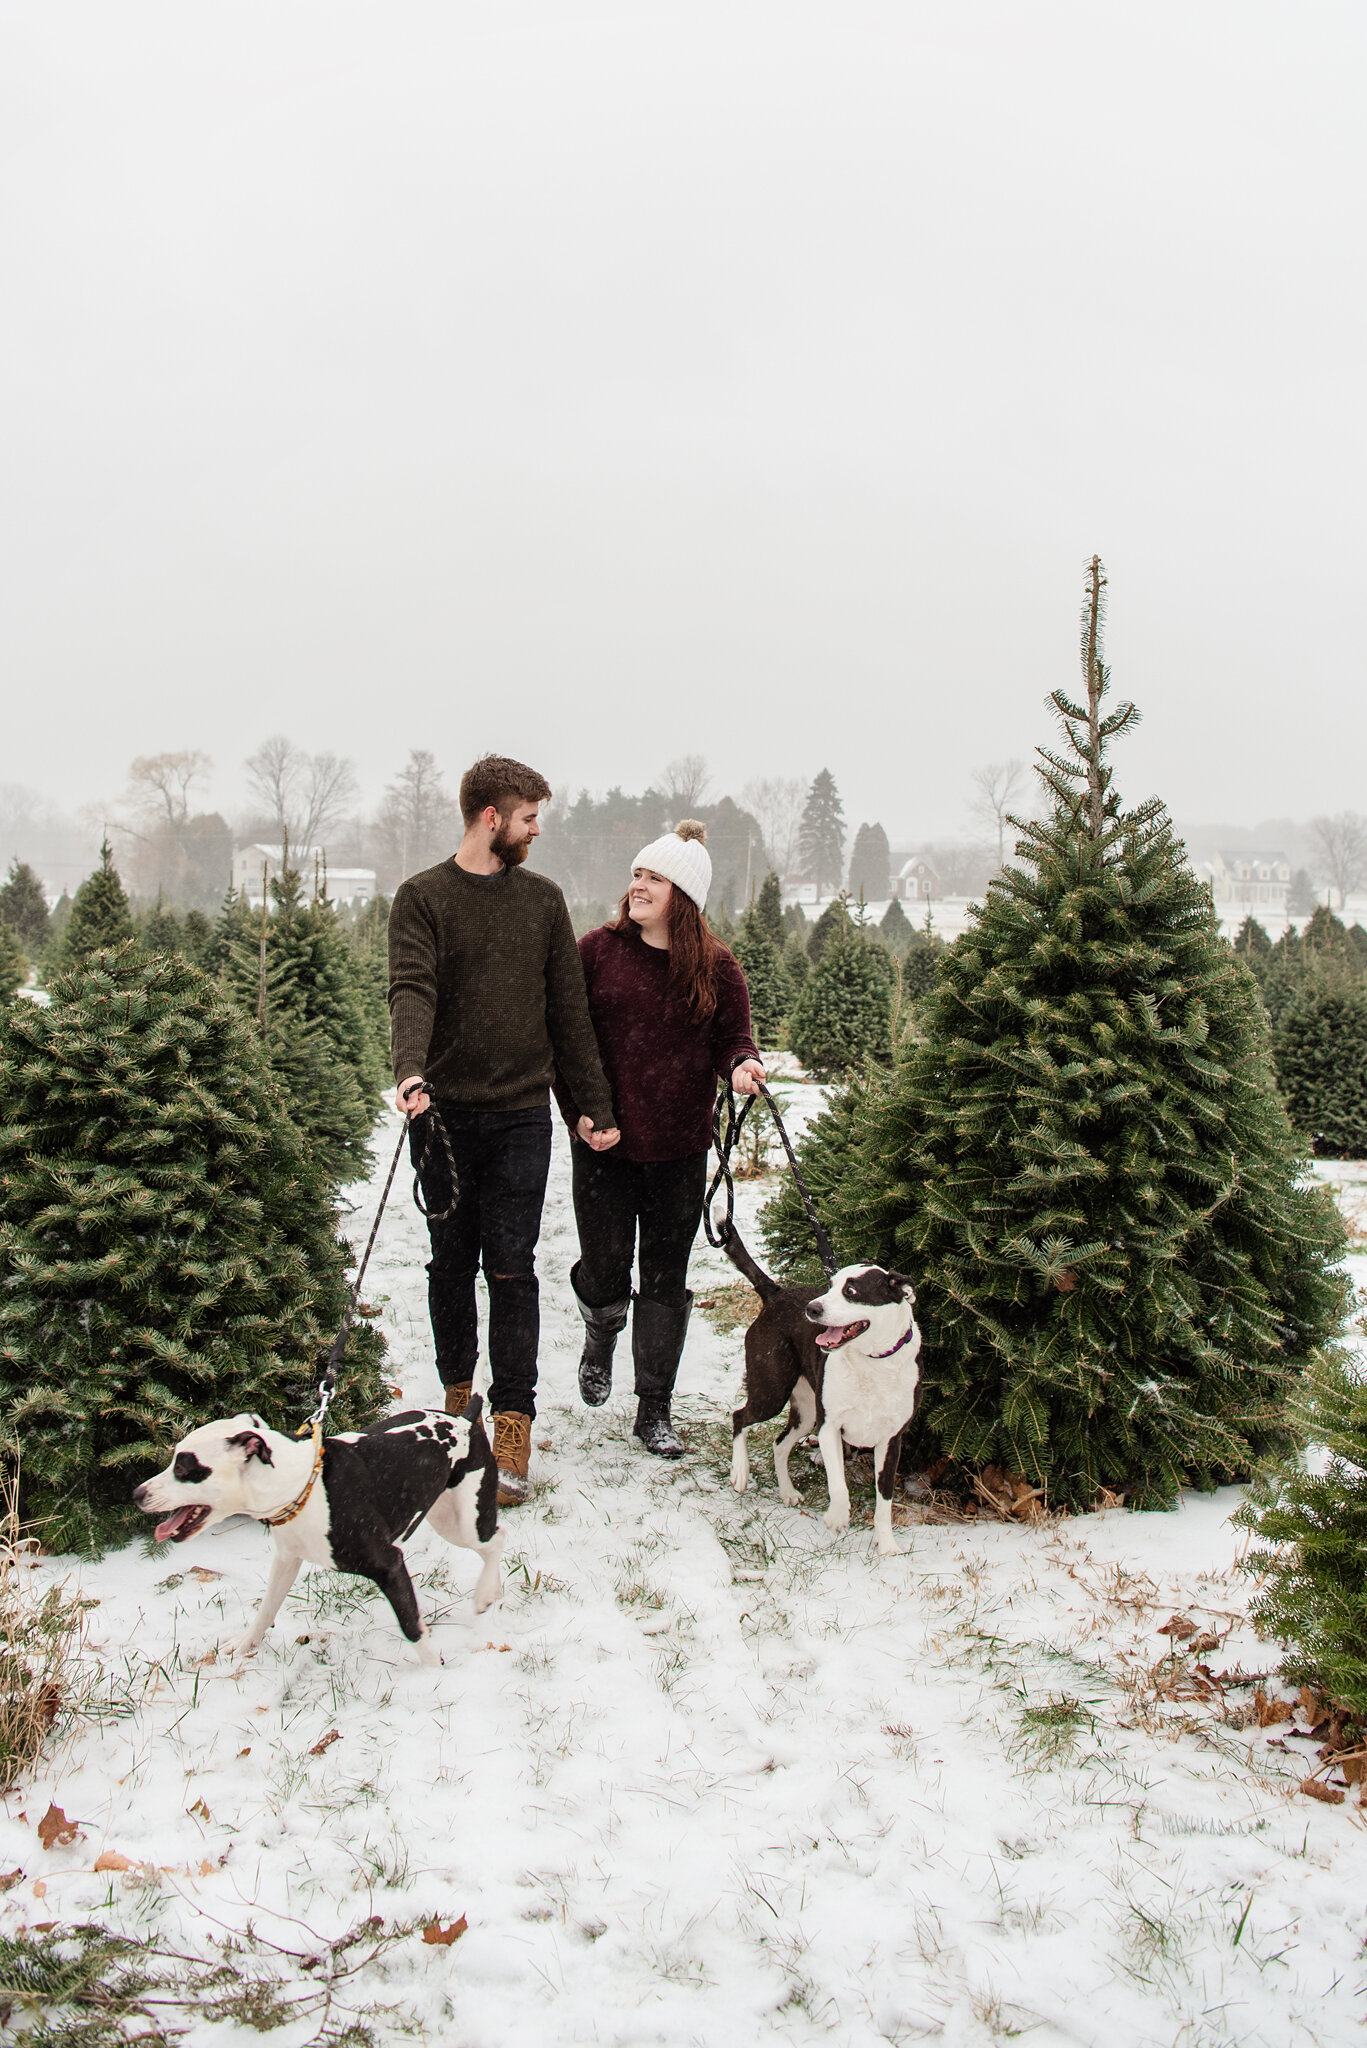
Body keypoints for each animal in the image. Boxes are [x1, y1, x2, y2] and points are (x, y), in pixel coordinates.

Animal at [131, 1392, 506, 1662]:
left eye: (185, 1468)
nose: (137, 1494)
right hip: (444, 1517)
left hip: (463, 1523)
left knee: (496, 1539)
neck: (300, 1484)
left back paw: (485, 1593)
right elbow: (266, 1609)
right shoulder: (286, 1559)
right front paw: (244, 1645)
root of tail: (465, 1419)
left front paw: (433, 1675)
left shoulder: (388, 1565)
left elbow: (412, 1628)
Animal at [725, 1228, 918, 1548]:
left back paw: (787, 1491)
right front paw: (837, 1517)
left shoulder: (891, 1440)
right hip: (772, 1391)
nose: (812, 1308)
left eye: (850, 1291)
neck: (871, 1362)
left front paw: (888, 1546)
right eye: (829, 1286)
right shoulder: (829, 1427)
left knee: (780, 1443)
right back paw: (740, 1471)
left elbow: (885, 1499)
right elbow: (838, 1484)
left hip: (806, 1414)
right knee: (739, 1416)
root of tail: (777, 1293)